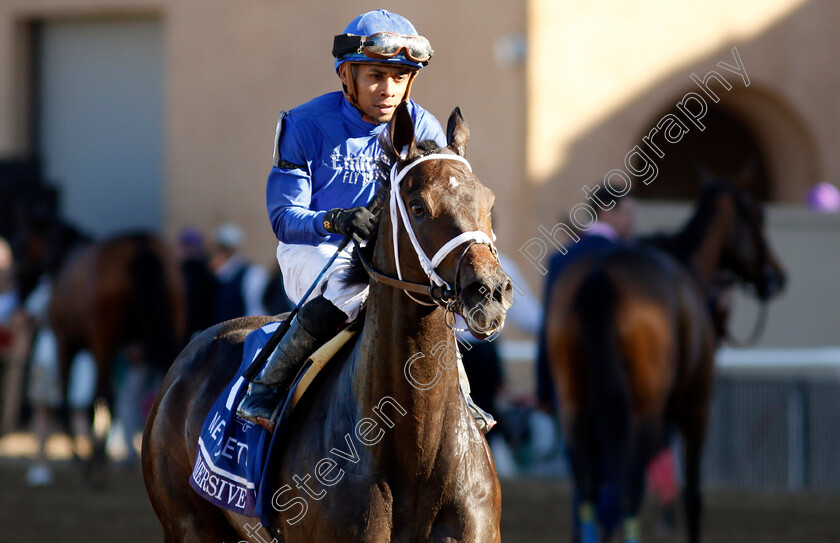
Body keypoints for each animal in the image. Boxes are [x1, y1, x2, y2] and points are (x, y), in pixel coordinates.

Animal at [544, 180, 788, 543]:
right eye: (758, 215)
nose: (776, 277)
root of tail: (601, 274)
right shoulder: (696, 408)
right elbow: (693, 496)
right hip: (645, 411)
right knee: (627, 488)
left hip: (575, 402)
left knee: (589, 485)